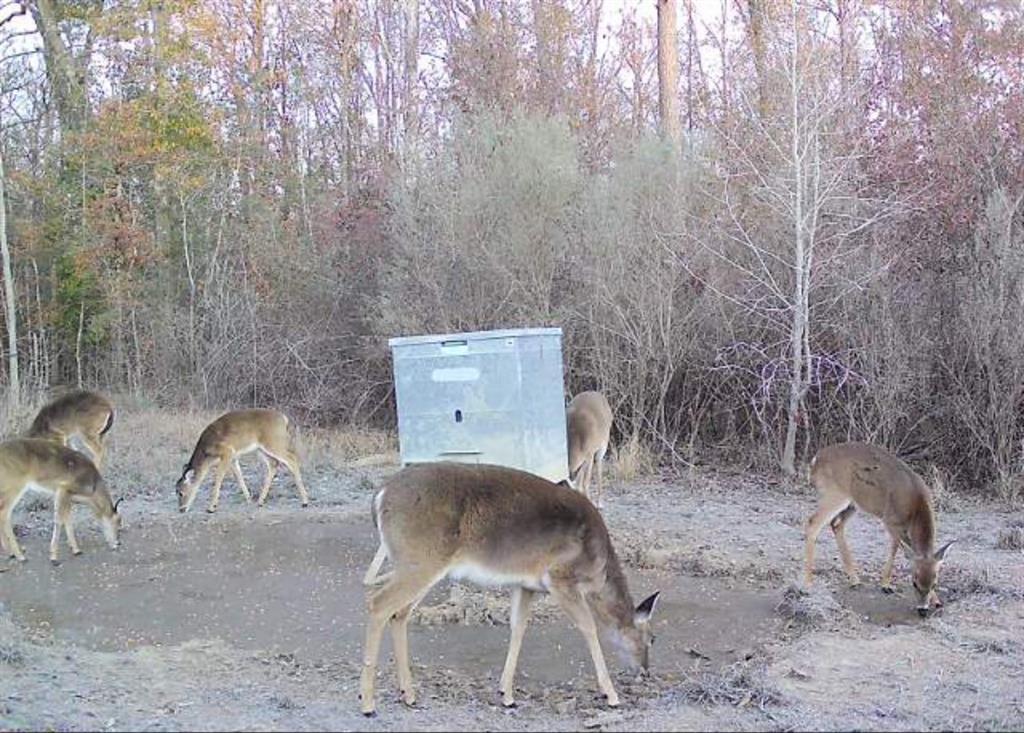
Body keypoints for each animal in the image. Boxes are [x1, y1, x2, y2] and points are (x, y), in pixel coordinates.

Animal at [174, 407, 309, 515]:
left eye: (180, 492)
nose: (181, 509)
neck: (207, 453)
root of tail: (284, 419)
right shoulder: (234, 458)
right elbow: (239, 476)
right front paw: (248, 499)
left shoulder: (227, 451)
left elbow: (219, 477)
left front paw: (211, 508)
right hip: (262, 450)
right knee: (273, 464)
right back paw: (260, 501)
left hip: (273, 442)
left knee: (292, 460)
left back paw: (305, 502)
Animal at [360, 464, 663, 716]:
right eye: (652, 638)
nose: (646, 671)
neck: (597, 570)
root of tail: (380, 497)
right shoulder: (560, 578)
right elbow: (588, 627)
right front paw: (611, 695)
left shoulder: (525, 585)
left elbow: (518, 627)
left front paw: (506, 694)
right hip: (420, 561)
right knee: (378, 604)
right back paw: (368, 703)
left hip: (420, 565)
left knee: (399, 614)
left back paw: (408, 695)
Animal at [802, 440, 954, 618]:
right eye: (914, 583)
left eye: (934, 583)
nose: (922, 610)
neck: (915, 504)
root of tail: (815, 460)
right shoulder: (890, 520)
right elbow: (896, 548)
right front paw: (885, 584)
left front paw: (937, 601)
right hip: (835, 494)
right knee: (813, 523)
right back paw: (808, 583)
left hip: (853, 503)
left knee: (836, 524)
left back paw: (855, 580)